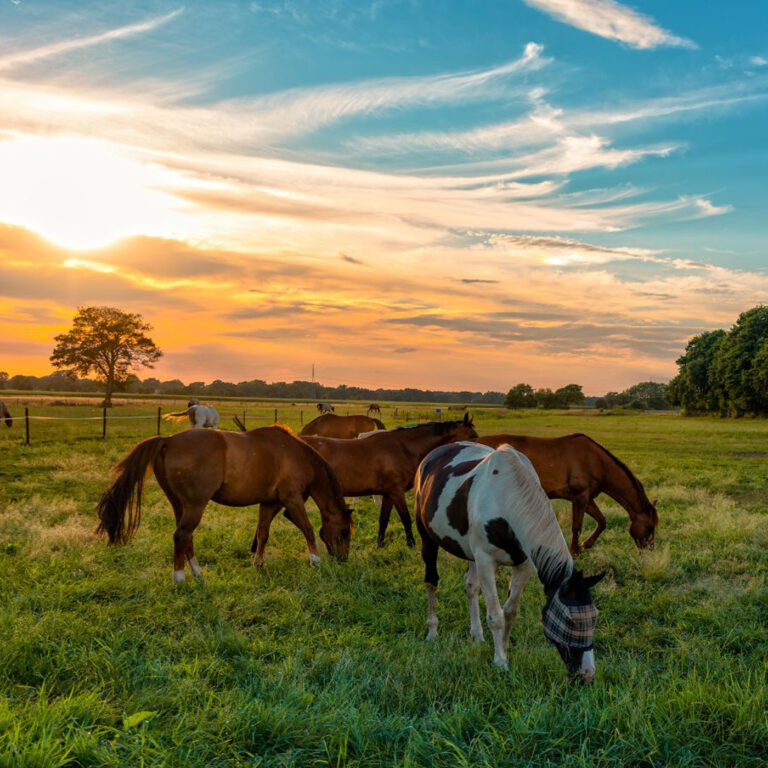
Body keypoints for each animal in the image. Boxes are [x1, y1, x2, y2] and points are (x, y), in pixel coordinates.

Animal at [95, 426, 353, 581]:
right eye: (344, 532)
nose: (343, 559)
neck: (295, 454)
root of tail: (169, 440)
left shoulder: (268, 503)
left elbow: (262, 534)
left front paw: (258, 563)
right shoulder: (292, 500)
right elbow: (308, 530)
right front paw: (316, 561)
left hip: (181, 506)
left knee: (186, 537)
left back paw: (198, 573)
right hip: (195, 506)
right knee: (181, 536)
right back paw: (180, 578)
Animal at [251, 414, 478, 555]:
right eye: (472, 435)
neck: (402, 448)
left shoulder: (388, 494)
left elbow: (383, 520)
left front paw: (380, 545)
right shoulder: (396, 492)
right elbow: (405, 519)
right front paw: (411, 545)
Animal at [414, 441, 605, 682]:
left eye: (595, 617)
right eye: (570, 620)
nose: (587, 673)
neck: (507, 497)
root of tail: (431, 456)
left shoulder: (523, 565)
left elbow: (510, 611)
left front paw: (503, 649)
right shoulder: (486, 561)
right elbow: (496, 615)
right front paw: (500, 662)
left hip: (471, 553)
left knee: (471, 587)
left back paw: (477, 635)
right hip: (428, 538)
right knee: (431, 581)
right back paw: (432, 631)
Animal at [476, 433, 657, 554]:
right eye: (650, 527)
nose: (650, 550)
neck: (596, 462)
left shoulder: (587, 499)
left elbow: (602, 521)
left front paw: (585, 545)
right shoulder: (580, 498)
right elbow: (577, 526)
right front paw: (575, 551)